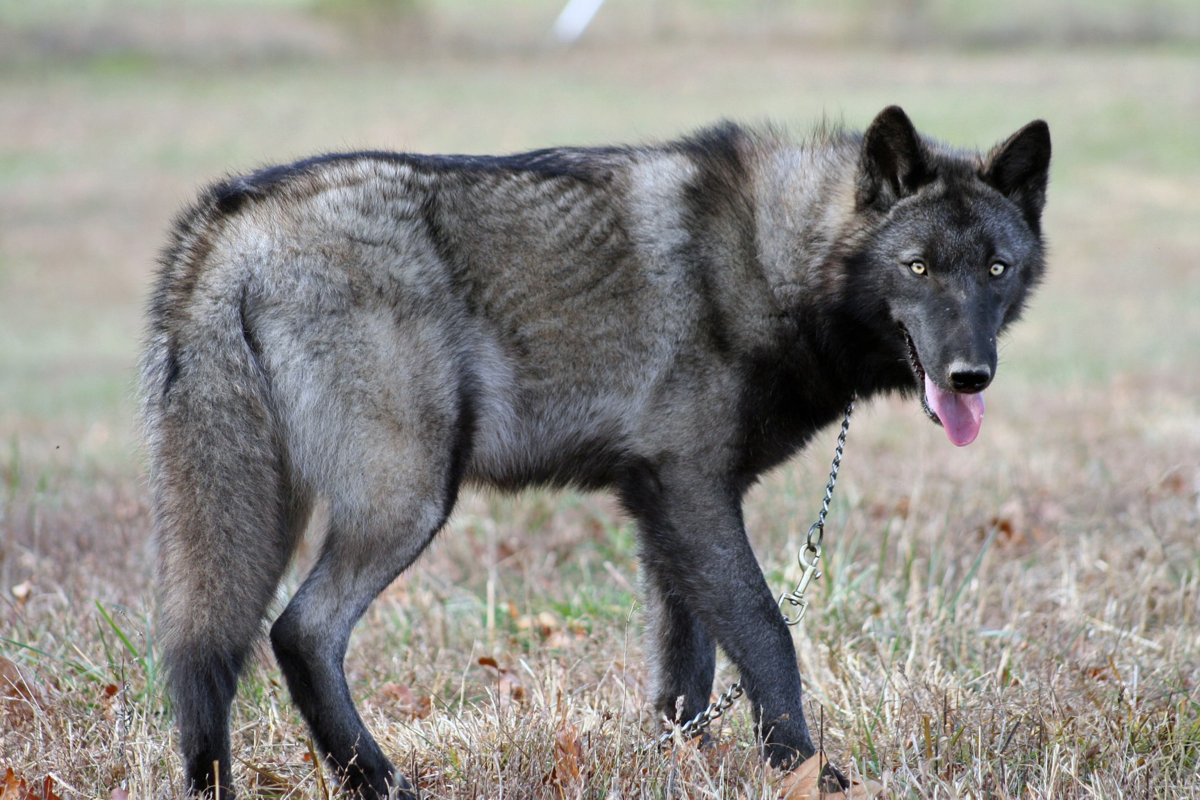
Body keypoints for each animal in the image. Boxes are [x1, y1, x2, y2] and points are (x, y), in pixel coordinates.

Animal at [140, 107, 1051, 800]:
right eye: (918, 267)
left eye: (997, 269)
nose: (970, 375)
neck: (771, 261)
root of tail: (229, 223)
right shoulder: (692, 492)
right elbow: (766, 638)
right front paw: (806, 775)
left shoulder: (666, 510)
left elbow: (685, 681)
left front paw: (690, 774)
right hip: (408, 502)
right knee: (300, 633)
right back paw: (382, 783)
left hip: (261, 520)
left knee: (209, 654)